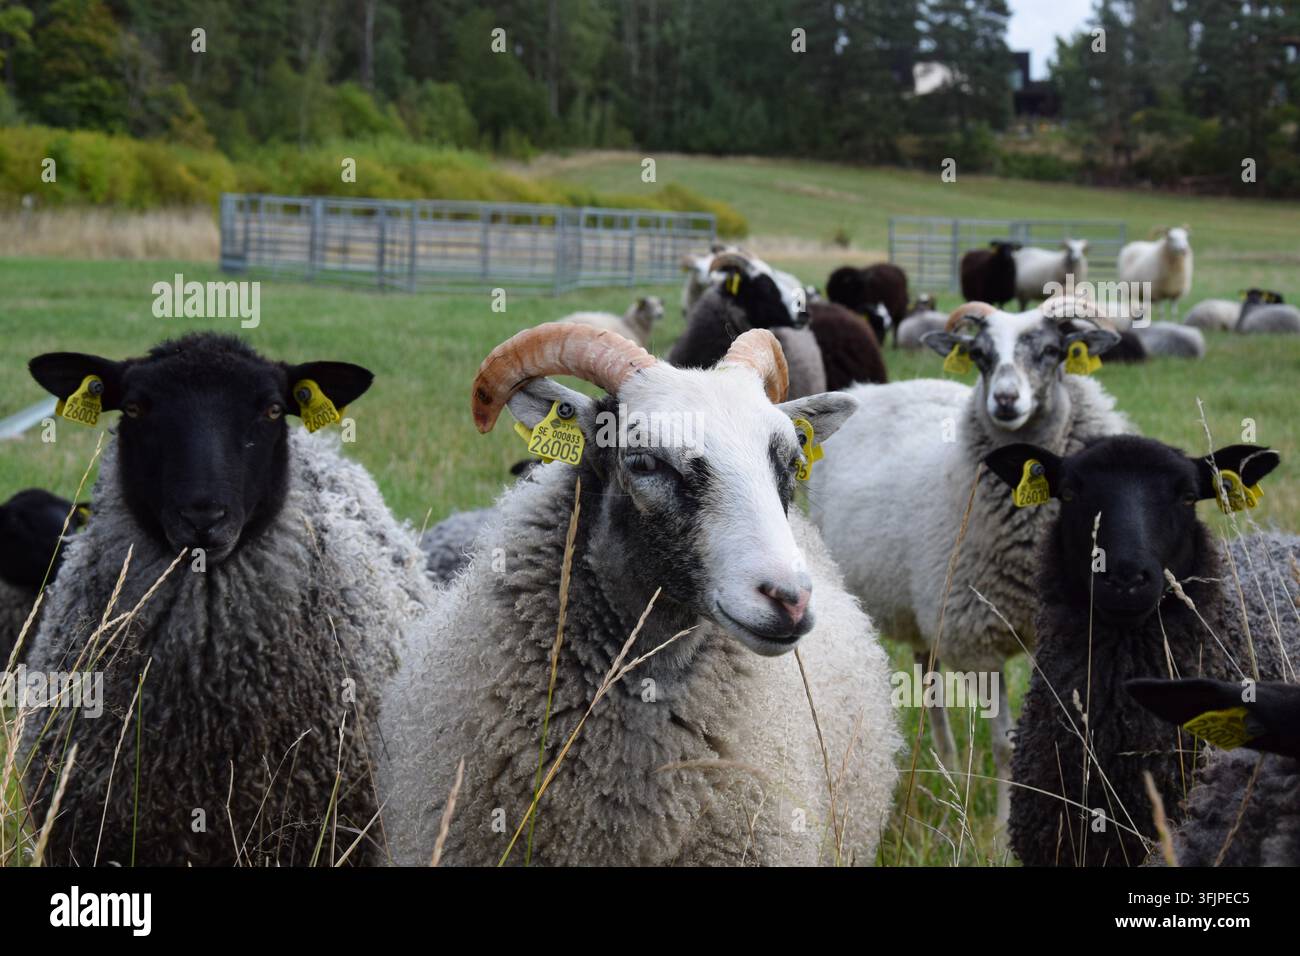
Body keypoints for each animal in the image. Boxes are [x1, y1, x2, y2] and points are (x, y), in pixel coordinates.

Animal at [808, 301, 1130, 823]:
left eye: (1051, 351)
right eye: (980, 354)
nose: (1005, 400)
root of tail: (878, 387)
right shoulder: (979, 640)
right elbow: (1003, 746)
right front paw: (1001, 826)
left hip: (925, 611)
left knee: (927, 672)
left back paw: (952, 770)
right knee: (931, 689)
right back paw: (949, 772)